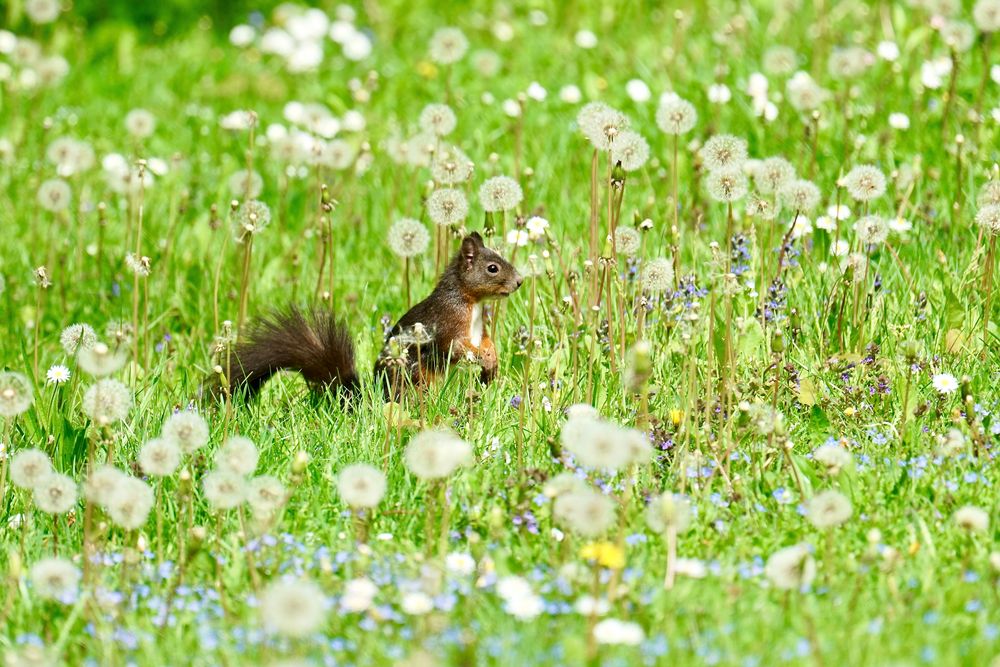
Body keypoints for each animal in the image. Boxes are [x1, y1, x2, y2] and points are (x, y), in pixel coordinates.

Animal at [225, 232, 524, 400]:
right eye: (493, 268)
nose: (520, 281)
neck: (472, 302)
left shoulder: (479, 328)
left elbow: (486, 342)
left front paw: (492, 360)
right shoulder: (449, 322)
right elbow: (457, 347)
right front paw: (484, 360)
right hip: (414, 379)